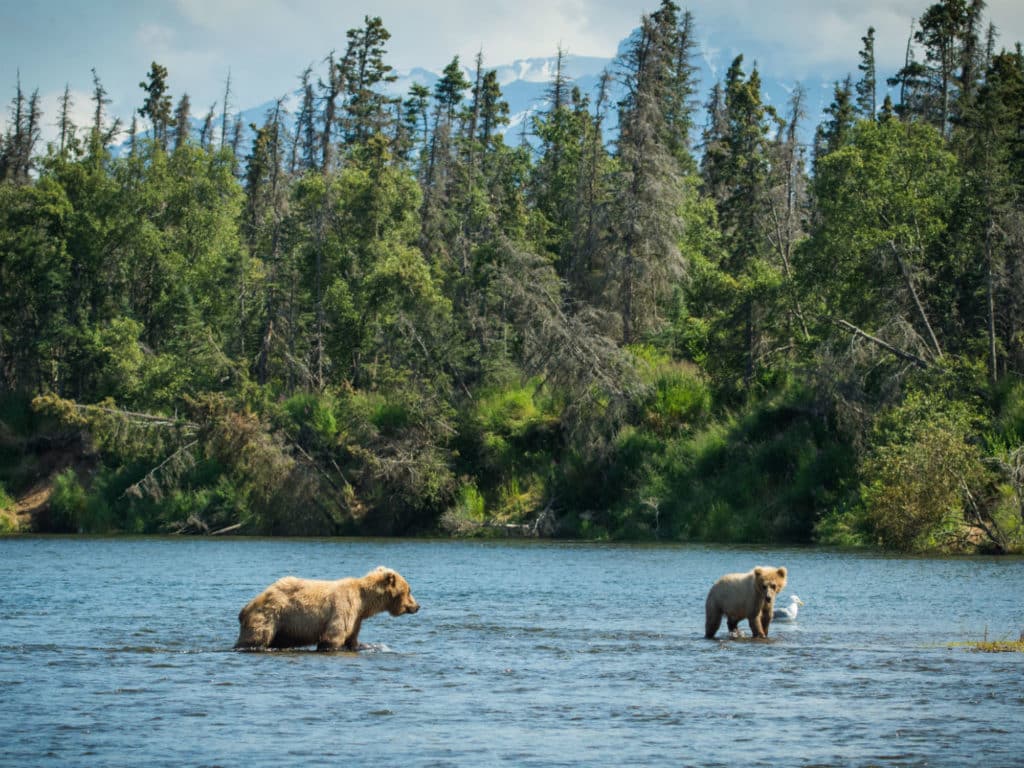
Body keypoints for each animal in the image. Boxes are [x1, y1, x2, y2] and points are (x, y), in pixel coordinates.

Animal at [235, 565, 420, 651]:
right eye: (409, 590)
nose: (417, 606)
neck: (364, 603)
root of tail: (247, 606)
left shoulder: (356, 619)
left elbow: (352, 639)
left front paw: (363, 645)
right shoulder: (344, 608)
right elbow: (333, 637)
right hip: (270, 615)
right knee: (256, 638)